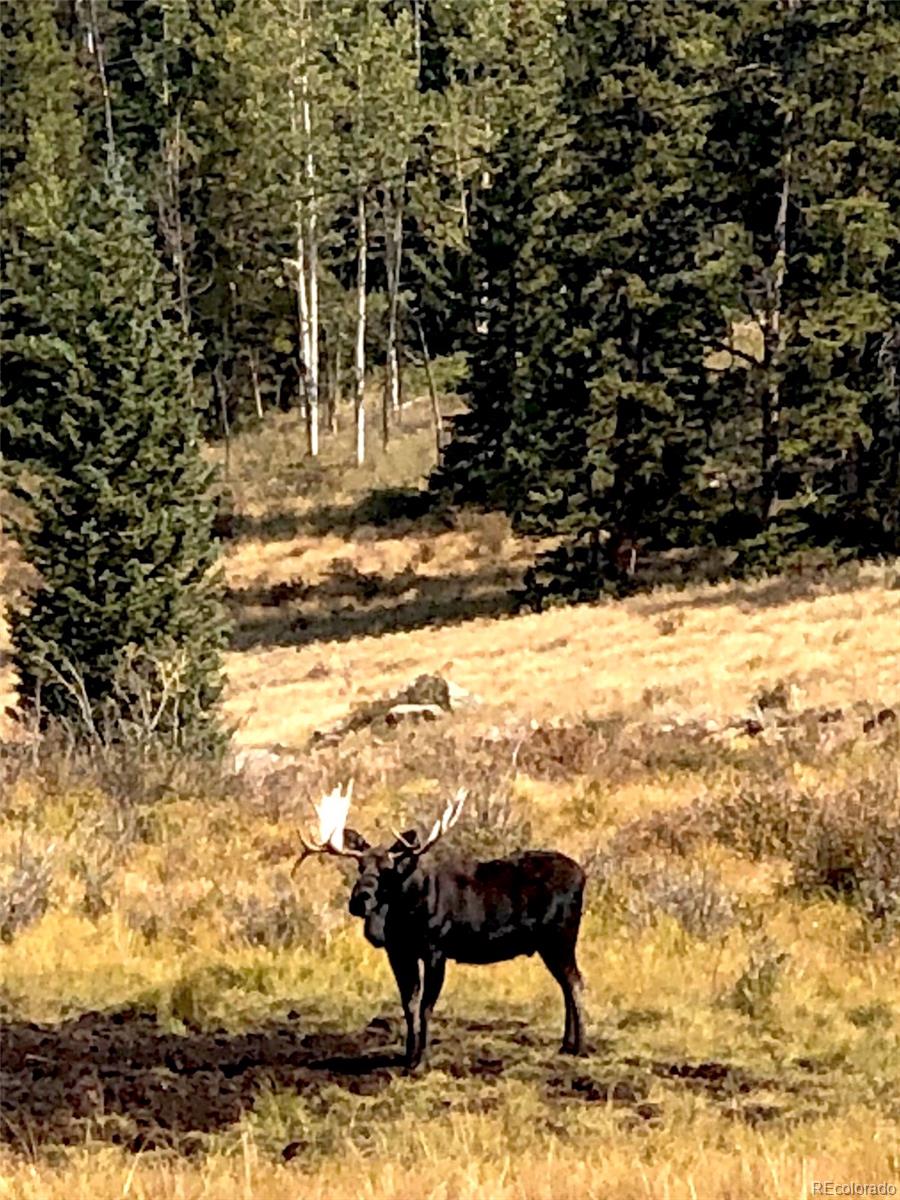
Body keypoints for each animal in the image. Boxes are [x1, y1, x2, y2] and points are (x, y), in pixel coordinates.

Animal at [300, 787, 588, 1070]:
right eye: (360, 866)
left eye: (388, 869)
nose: (359, 900)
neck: (402, 915)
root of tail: (583, 875)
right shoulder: (399, 952)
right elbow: (409, 1004)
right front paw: (408, 1056)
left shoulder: (436, 949)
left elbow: (426, 1006)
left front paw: (422, 1060)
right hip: (550, 943)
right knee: (566, 984)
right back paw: (566, 1045)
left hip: (561, 935)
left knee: (575, 982)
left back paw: (581, 1047)